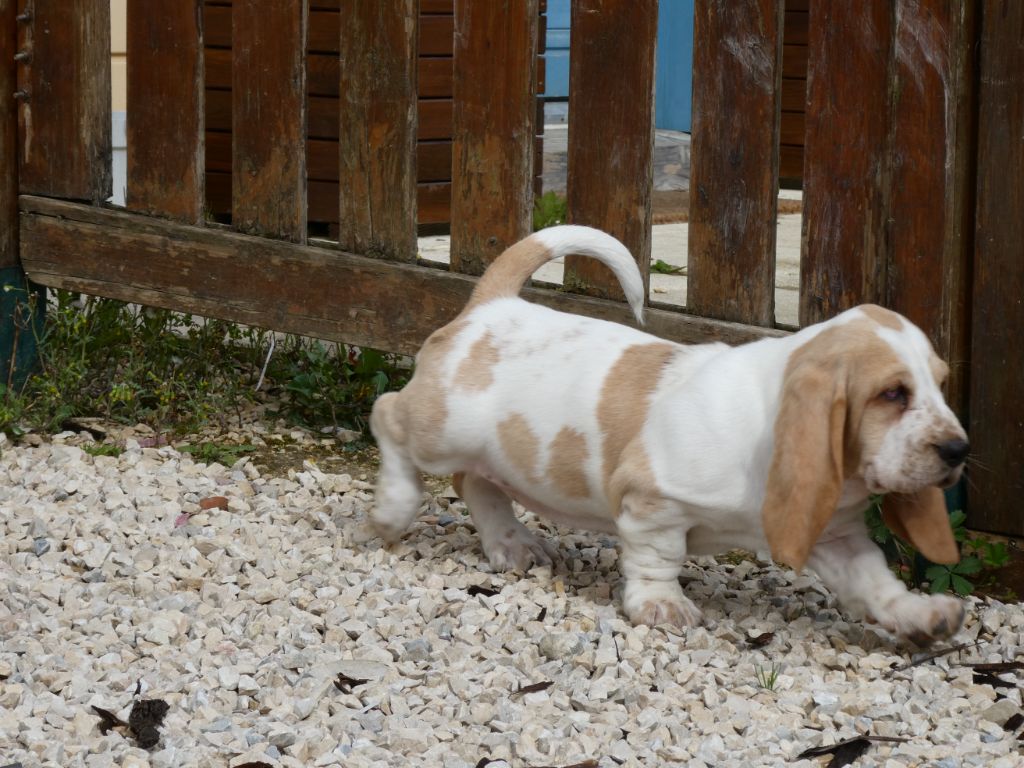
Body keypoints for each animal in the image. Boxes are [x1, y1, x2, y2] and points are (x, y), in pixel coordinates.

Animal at [370, 225, 966, 647]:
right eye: (892, 393)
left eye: (941, 384)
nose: (959, 450)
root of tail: (493, 304)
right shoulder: (654, 503)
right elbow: (659, 557)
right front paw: (662, 606)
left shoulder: (838, 537)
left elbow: (876, 582)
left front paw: (921, 614)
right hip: (442, 428)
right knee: (387, 415)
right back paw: (391, 511)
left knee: (477, 484)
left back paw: (510, 544)